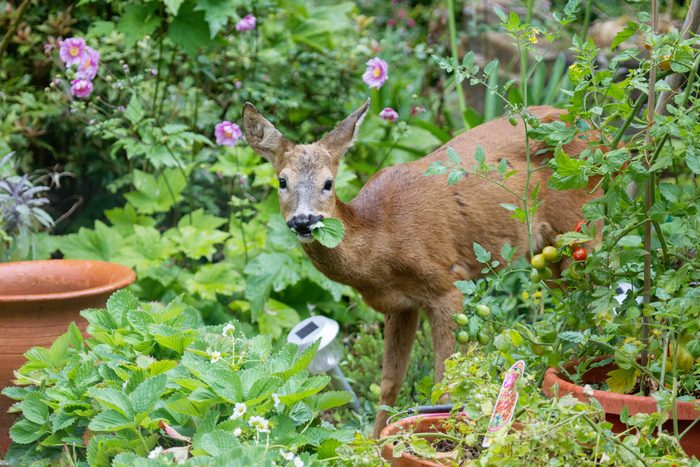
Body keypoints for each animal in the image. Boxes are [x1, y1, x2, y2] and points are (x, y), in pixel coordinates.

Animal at [242, 100, 600, 436]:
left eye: (328, 183)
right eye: (282, 181)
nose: (304, 220)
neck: (381, 241)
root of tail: (598, 130)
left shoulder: (447, 285)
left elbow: (446, 380)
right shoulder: (398, 305)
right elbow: (389, 383)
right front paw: (375, 443)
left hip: (582, 226)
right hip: (546, 253)